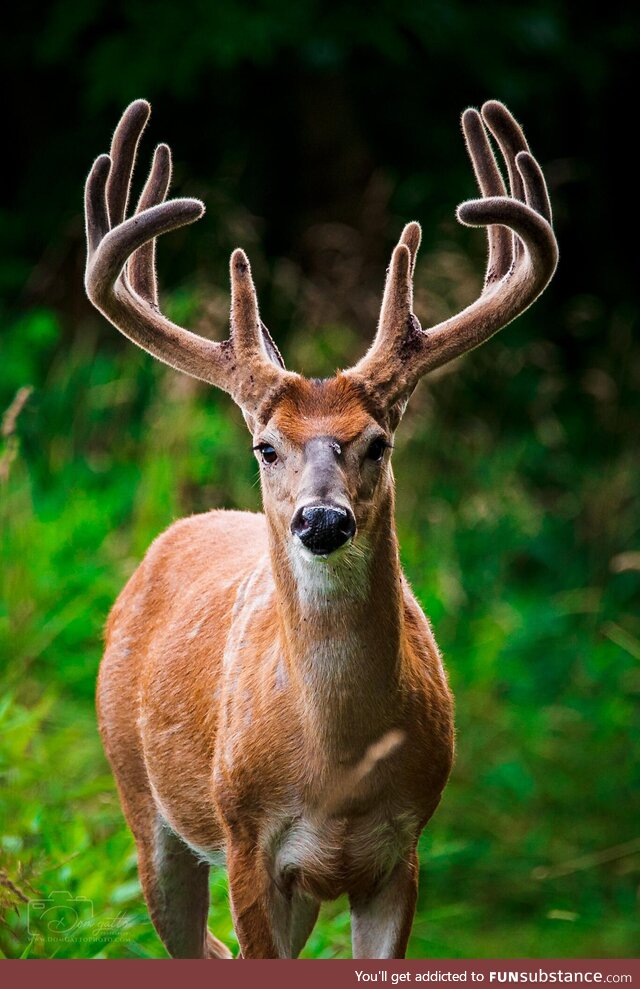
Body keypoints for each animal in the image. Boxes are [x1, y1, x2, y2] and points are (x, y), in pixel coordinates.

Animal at [85, 94, 556, 956]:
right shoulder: (248, 841)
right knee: (189, 933)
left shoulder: (402, 850)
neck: (337, 771)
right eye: (265, 446)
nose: (323, 519)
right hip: (144, 802)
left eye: (380, 442)